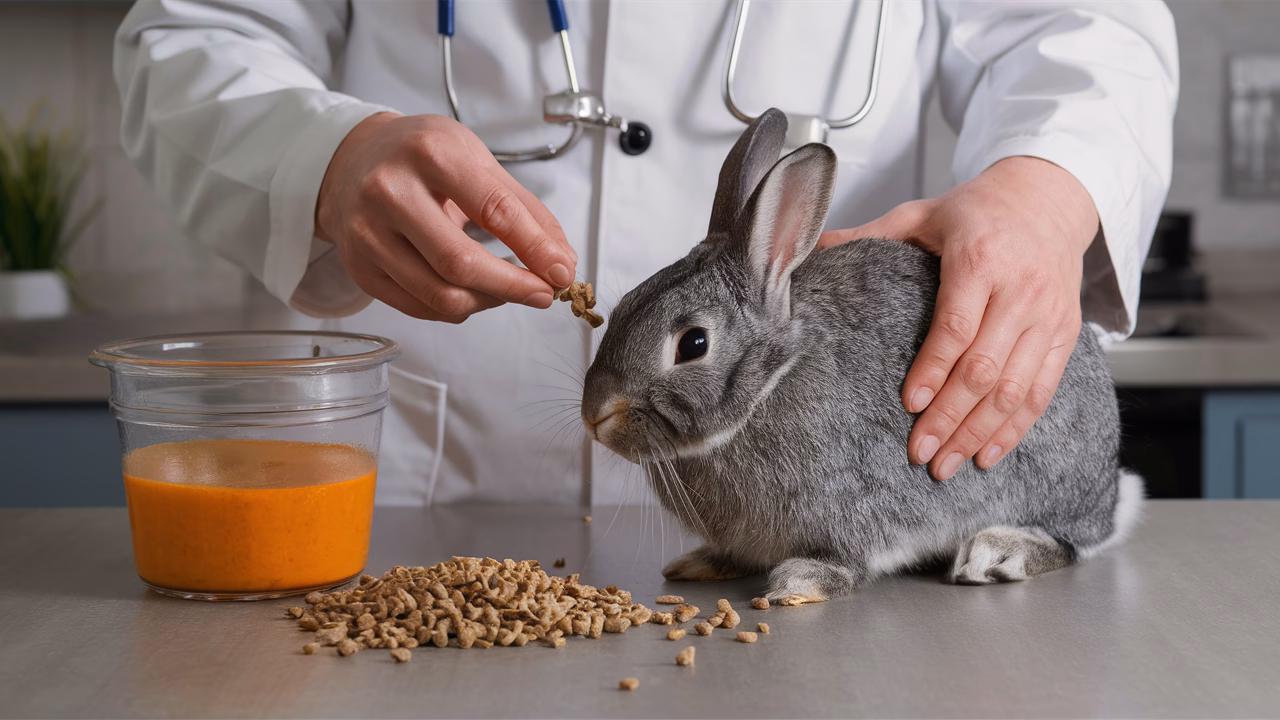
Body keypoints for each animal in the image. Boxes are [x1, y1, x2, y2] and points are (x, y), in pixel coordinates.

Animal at [579, 108, 1142, 605]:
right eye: (622, 307)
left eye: (693, 344)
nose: (594, 415)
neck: (771, 384)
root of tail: (1111, 494)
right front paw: (699, 564)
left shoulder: (857, 504)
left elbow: (845, 560)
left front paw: (798, 585)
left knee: (1069, 543)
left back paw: (997, 553)